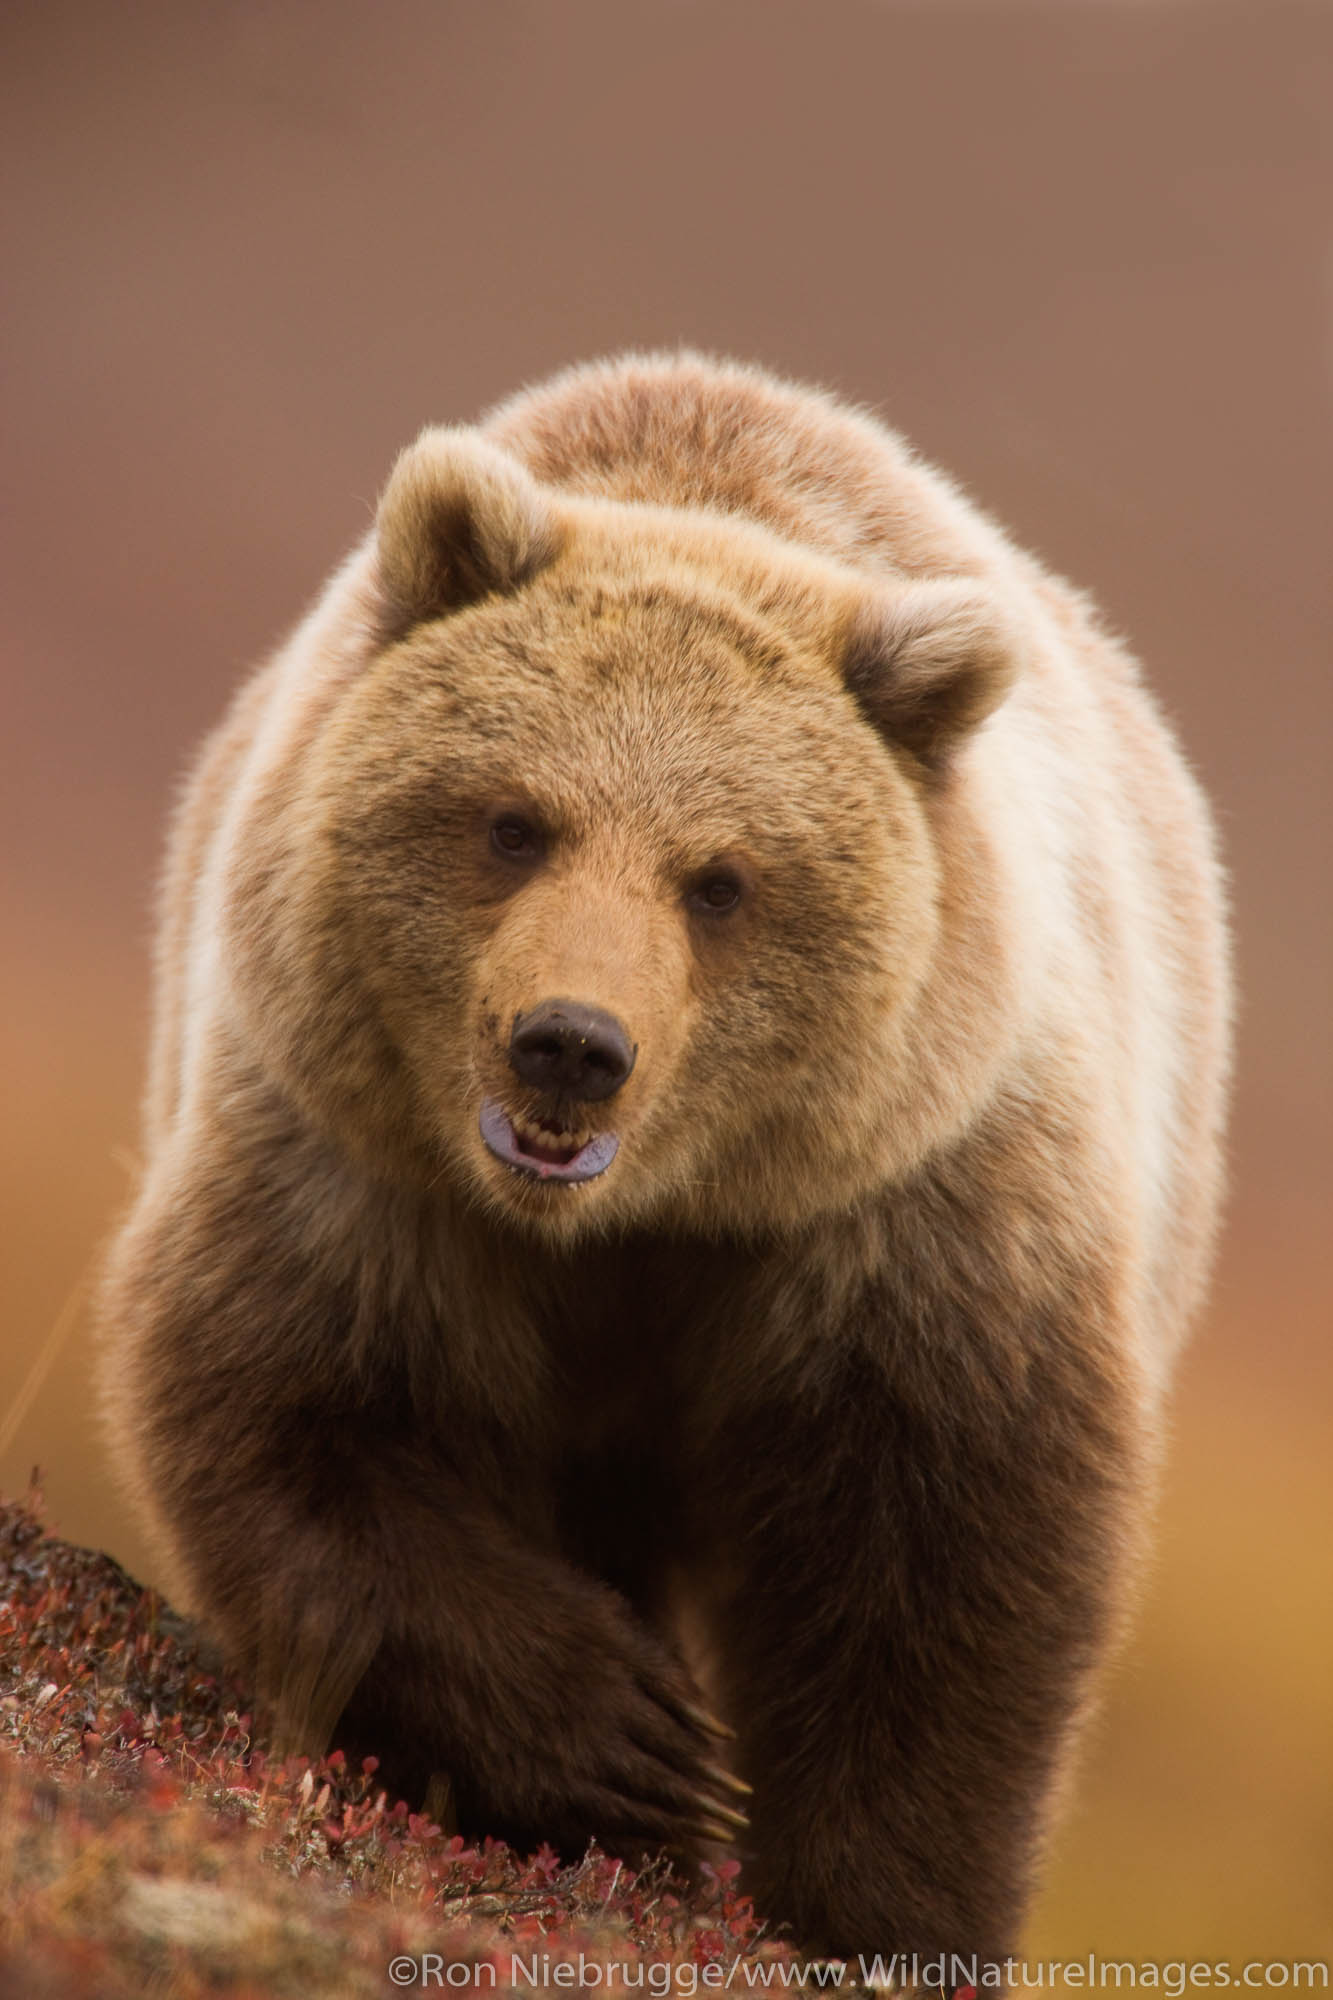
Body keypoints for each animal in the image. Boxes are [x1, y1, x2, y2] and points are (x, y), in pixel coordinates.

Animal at [98, 352, 1232, 1960]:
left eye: (722, 879)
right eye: (514, 820)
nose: (570, 1042)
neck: (640, 1219)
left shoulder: (910, 1200)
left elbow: (940, 1548)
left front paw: (870, 1902)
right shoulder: (357, 1162)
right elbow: (300, 1412)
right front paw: (622, 1746)